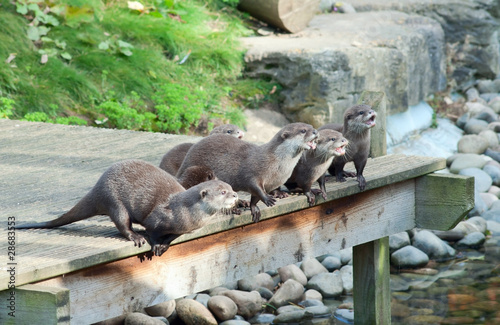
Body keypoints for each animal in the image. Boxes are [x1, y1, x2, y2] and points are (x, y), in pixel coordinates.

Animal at [16, 159, 237, 256]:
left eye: (231, 188)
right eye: (222, 192)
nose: (235, 195)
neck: (185, 213)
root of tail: (97, 187)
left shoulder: (184, 229)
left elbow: (172, 238)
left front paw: (164, 246)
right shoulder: (156, 219)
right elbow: (152, 230)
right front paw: (154, 244)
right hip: (113, 200)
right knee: (122, 223)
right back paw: (136, 236)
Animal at [177, 123, 316, 221]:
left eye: (311, 127)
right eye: (303, 130)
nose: (315, 131)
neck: (277, 164)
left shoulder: (269, 183)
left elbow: (255, 197)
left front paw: (253, 207)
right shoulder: (253, 173)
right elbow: (255, 187)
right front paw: (268, 199)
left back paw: (242, 202)